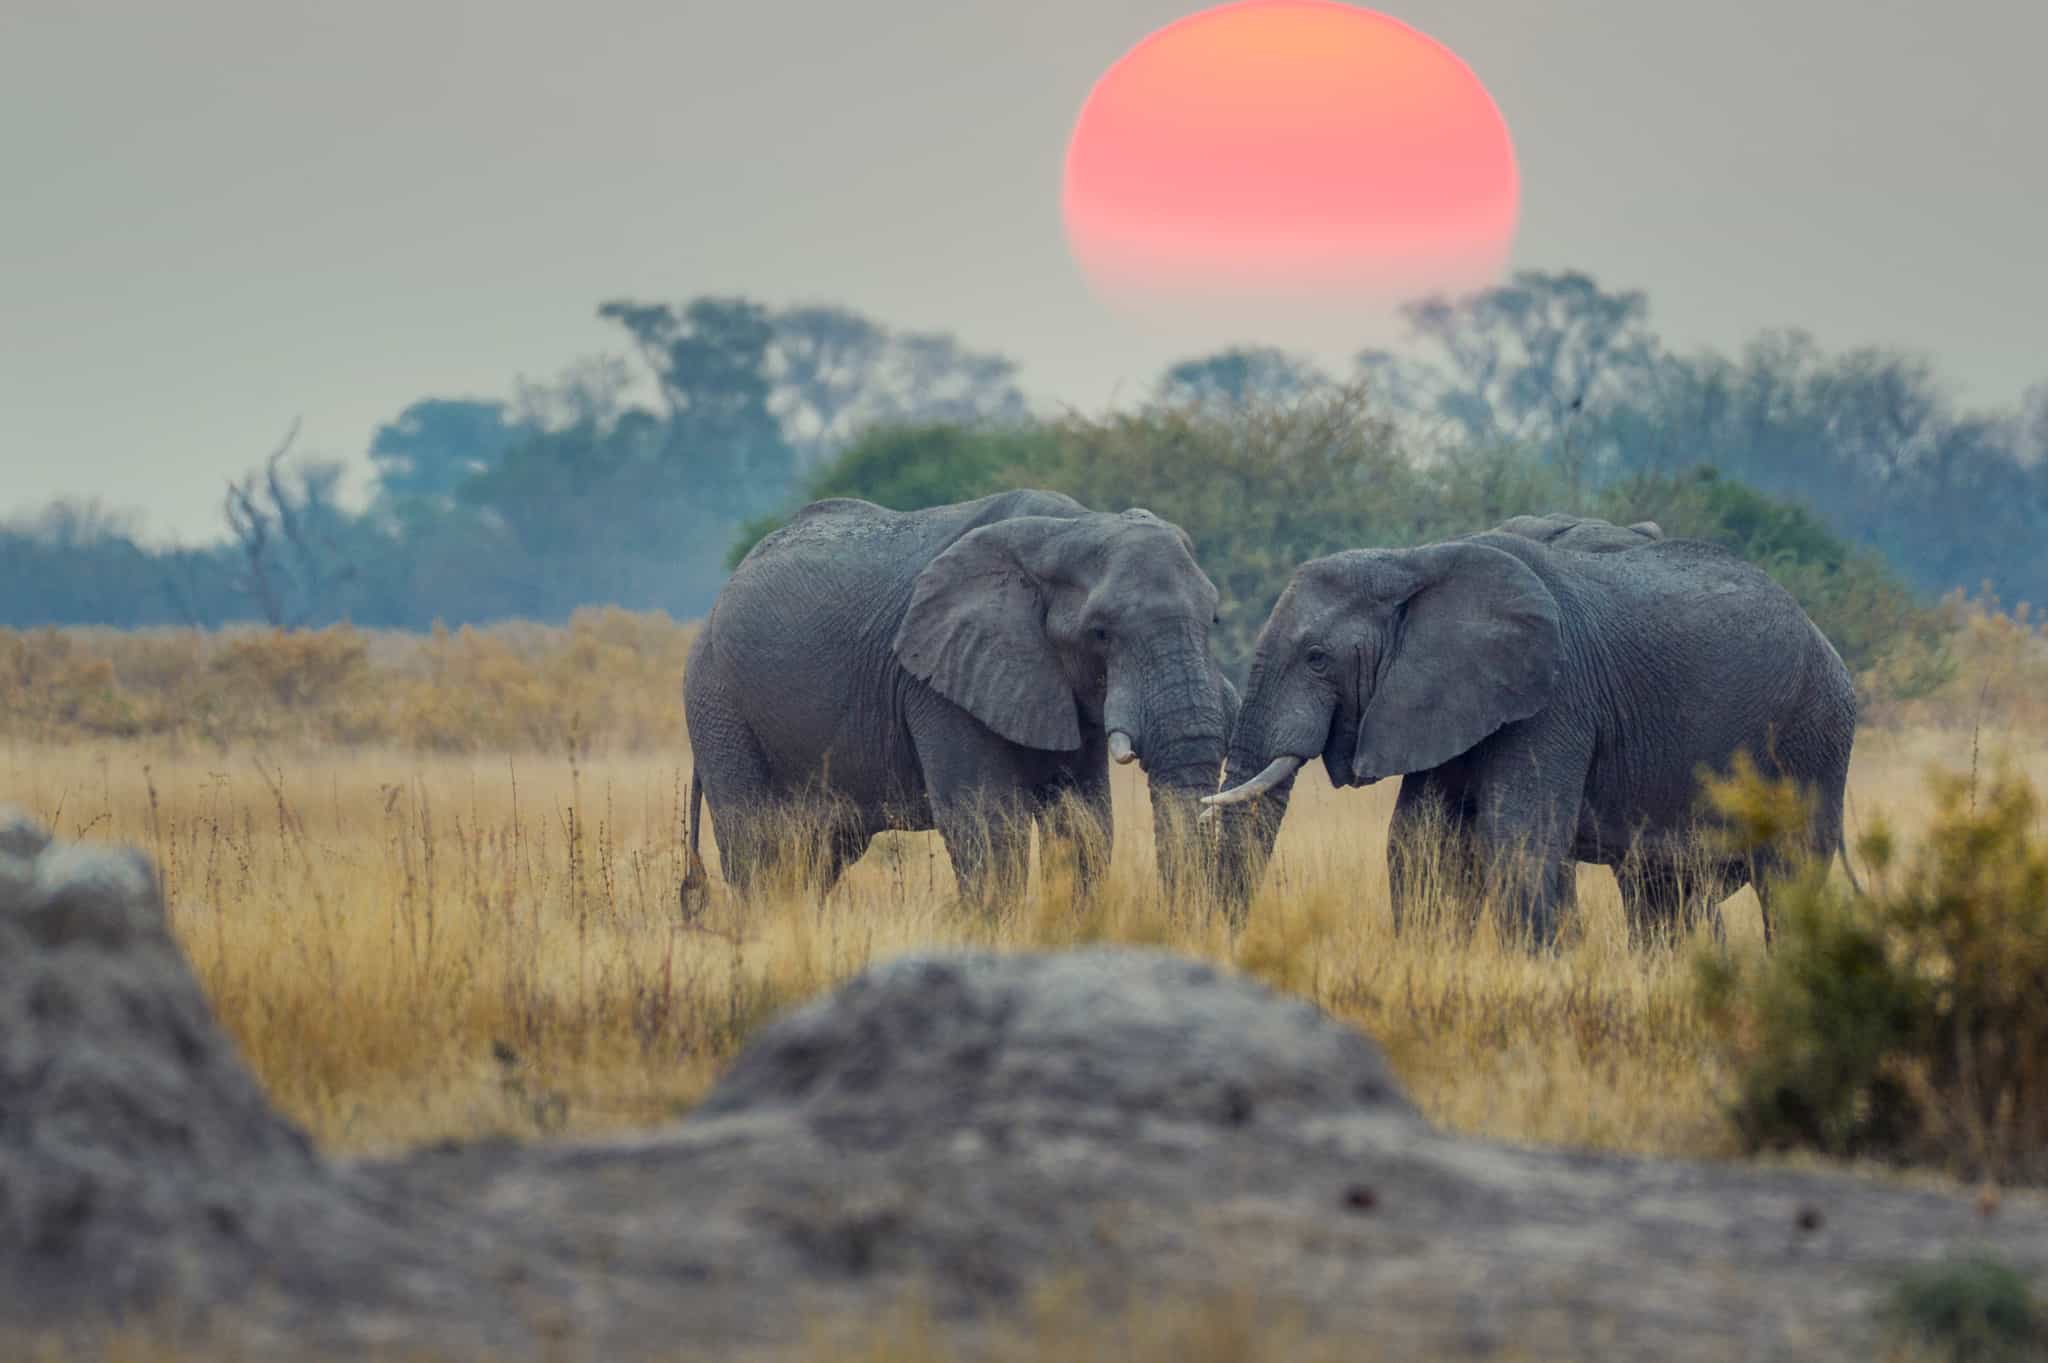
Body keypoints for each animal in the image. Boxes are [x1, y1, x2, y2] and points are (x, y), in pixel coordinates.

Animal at [684, 489, 1228, 900]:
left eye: (1214, 619)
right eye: (1100, 633)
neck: (1071, 527)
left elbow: (1085, 824)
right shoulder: (937, 682)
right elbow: (988, 824)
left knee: (819, 855)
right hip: (718, 704)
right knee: (758, 849)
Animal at [1204, 528, 1867, 945]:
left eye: (1317, 659)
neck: (1412, 561)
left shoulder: (1555, 699)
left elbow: (1516, 838)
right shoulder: (1443, 699)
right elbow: (1421, 841)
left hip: (1813, 737)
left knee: (1787, 882)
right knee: (1663, 894)